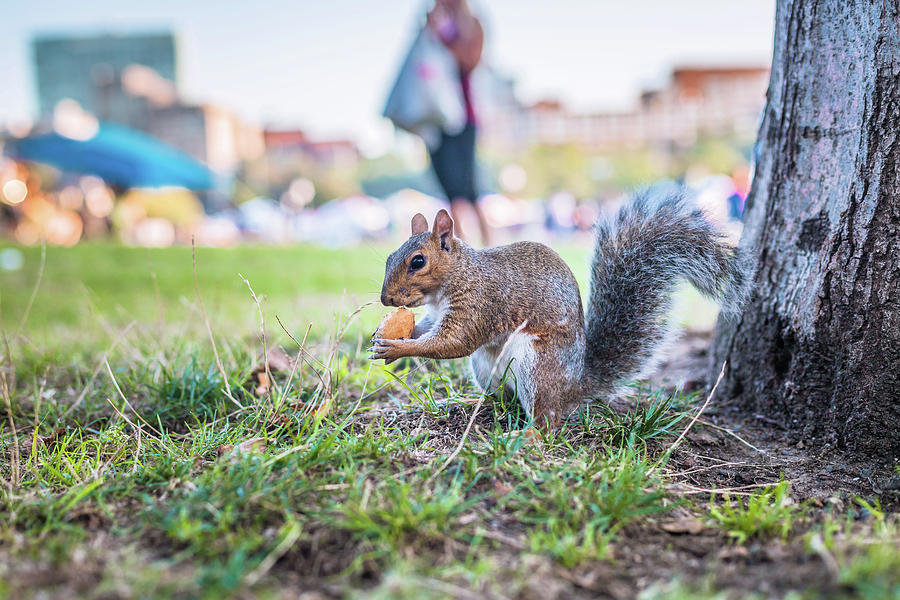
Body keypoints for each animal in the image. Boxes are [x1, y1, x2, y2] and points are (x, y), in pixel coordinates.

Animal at [370, 188, 748, 426]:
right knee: (504, 398)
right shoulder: (437, 312)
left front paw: (397, 348)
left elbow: (453, 342)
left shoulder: (481, 301)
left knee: (547, 418)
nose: (386, 299)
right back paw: (476, 404)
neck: (458, 276)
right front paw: (382, 336)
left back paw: (530, 438)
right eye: (388, 257)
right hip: (486, 370)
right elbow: (427, 329)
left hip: (537, 366)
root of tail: (574, 385)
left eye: (418, 261)